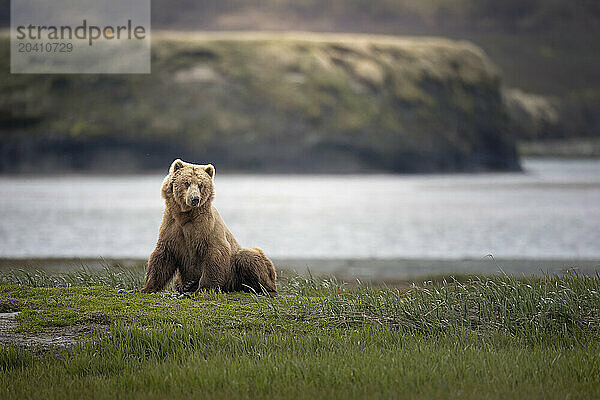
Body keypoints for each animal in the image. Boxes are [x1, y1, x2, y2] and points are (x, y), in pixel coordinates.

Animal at [140, 158, 276, 296]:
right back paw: (188, 285)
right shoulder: (172, 226)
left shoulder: (207, 227)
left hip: (244, 267)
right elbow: (163, 255)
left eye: (201, 185)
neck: (186, 215)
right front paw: (147, 287)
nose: (195, 199)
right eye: (186, 183)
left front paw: (203, 288)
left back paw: (262, 288)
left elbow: (215, 253)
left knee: (247, 256)